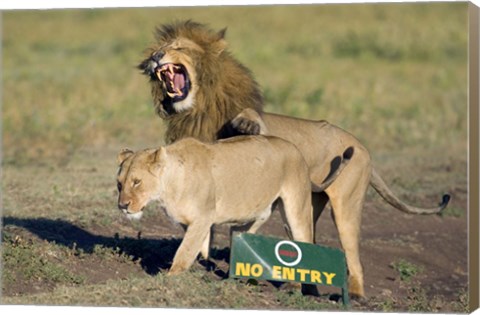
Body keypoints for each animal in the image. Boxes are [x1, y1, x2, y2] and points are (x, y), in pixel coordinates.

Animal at [115, 137, 350, 276]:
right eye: (119, 183)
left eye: (136, 182)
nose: (122, 205)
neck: (167, 189)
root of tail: (296, 150)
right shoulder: (195, 221)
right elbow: (201, 244)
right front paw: (205, 262)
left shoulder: (203, 216)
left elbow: (185, 249)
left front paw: (172, 275)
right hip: (250, 215)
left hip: (296, 209)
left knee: (304, 239)